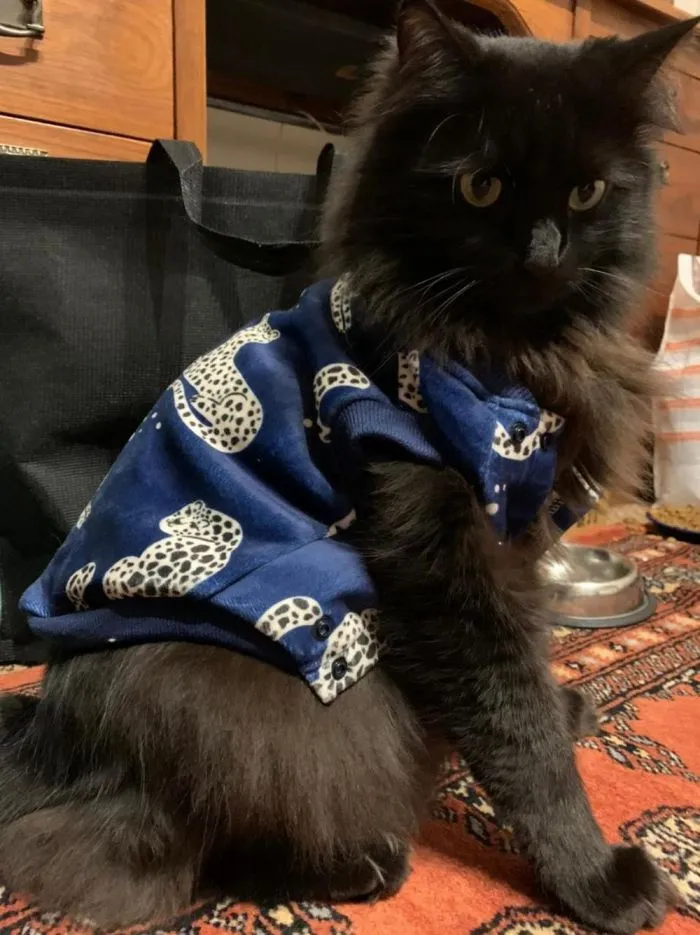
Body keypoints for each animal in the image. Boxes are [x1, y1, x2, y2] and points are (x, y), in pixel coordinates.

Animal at [0, 2, 697, 931]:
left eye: (587, 193)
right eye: (480, 188)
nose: (543, 254)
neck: (506, 355)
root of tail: (53, 742)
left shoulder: (514, 541)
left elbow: (535, 670)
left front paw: (569, 704)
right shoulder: (443, 559)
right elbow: (519, 732)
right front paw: (597, 879)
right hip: (270, 691)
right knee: (176, 850)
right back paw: (366, 868)